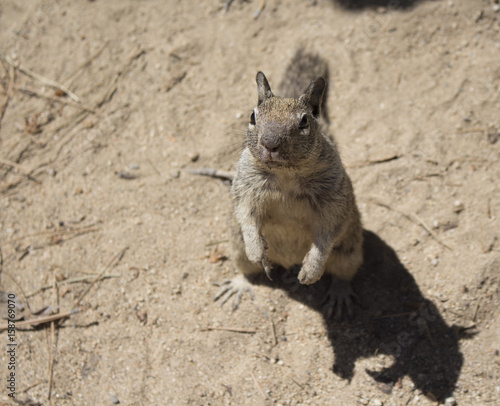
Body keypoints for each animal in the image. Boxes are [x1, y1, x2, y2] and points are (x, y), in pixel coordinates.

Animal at [215, 50, 364, 318]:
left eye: (304, 121)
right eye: (252, 116)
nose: (270, 143)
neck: (285, 175)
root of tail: (287, 262)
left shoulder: (334, 200)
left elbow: (328, 233)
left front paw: (311, 270)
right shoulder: (245, 188)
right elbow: (246, 215)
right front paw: (256, 249)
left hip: (350, 252)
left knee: (342, 275)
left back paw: (339, 294)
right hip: (236, 247)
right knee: (247, 270)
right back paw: (241, 282)